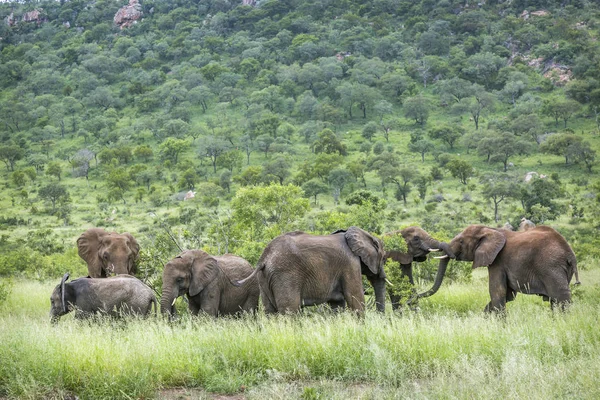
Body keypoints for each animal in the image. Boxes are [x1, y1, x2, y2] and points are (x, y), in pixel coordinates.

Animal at [234, 227, 384, 314]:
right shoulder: (350, 263)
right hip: (285, 275)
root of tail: (264, 258)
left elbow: (337, 303)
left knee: (270, 311)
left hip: (264, 278)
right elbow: (355, 298)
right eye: (383, 257)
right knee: (290, 310)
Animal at [414, 225, 580, 312]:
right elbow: (507, 295)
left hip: (551, 266)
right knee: (554, 301)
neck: (489, 229)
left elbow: (497, 291)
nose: (414, 297)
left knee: (560, 297)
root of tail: (570, 254)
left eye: (461, 241)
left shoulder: (498, 261)